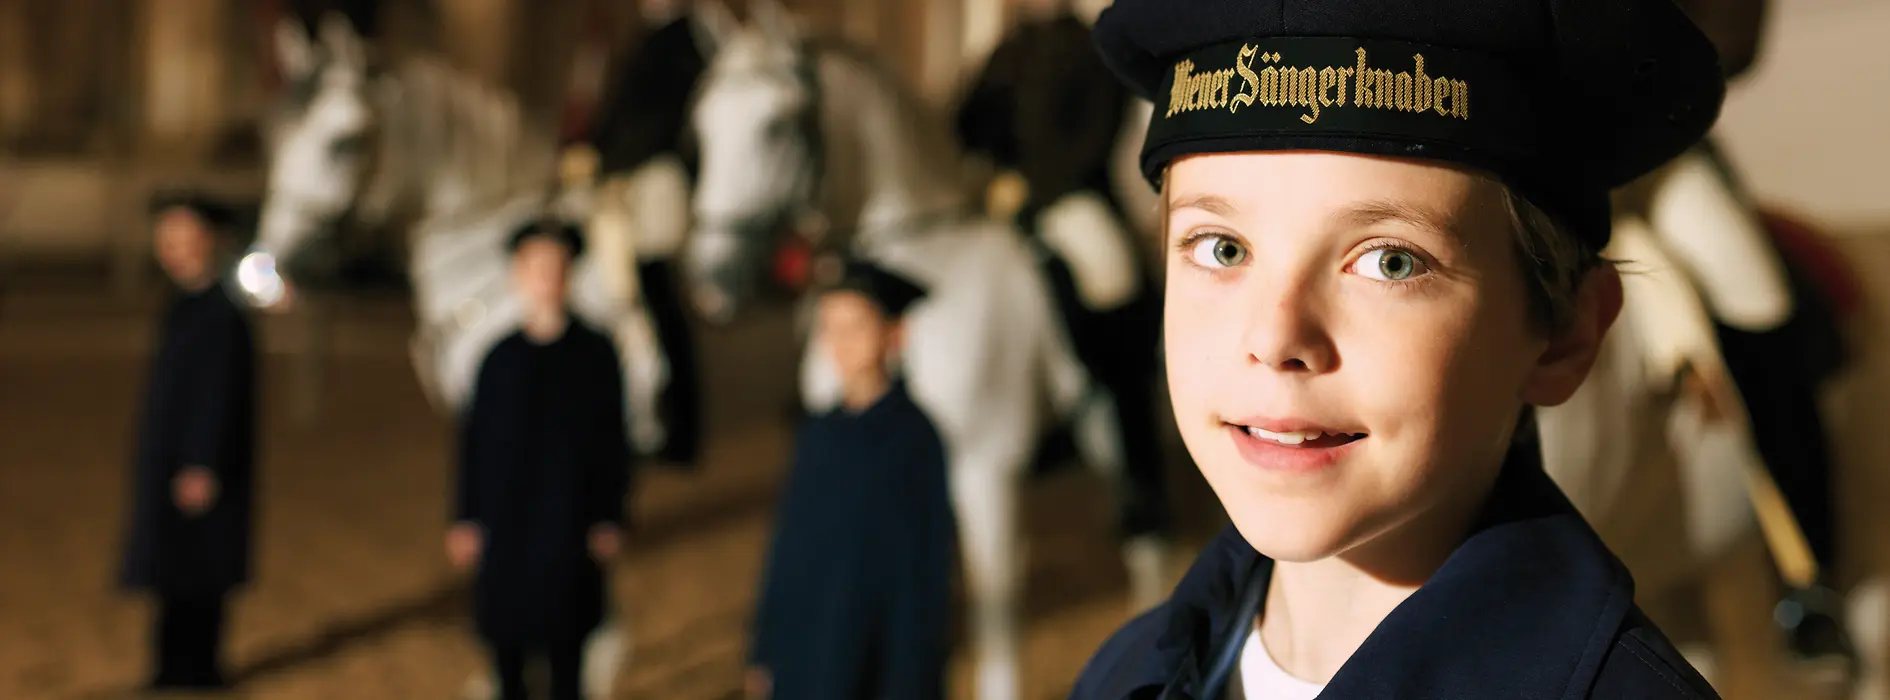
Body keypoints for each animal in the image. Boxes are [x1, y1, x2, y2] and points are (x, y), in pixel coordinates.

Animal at [680, 3, 1167, 698]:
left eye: (776, 127)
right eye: (702, 126)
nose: (710, 286)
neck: (914, 289)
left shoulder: (985, 471)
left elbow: (995, 620)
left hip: (1119, 423)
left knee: (1143, 535)